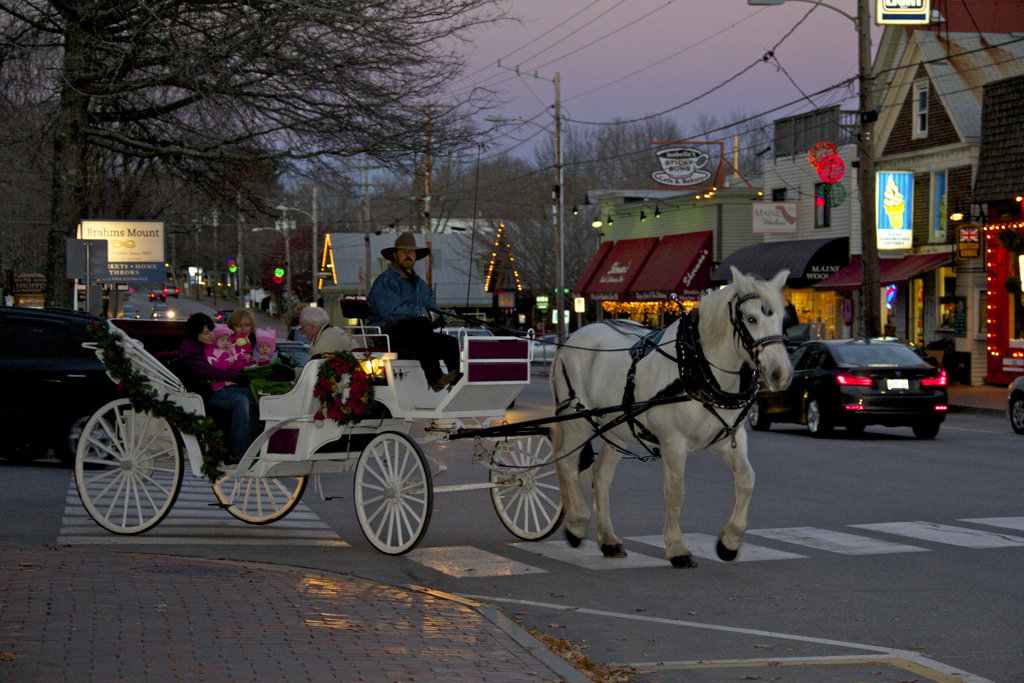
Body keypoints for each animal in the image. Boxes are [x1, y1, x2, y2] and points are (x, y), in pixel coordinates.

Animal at [552, 266, 790, 565]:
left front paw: (730, 542)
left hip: (615, 430)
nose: (781, 374)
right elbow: (676, 491)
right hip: (577, 422)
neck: (697, 367)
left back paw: (608, 539)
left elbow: (747, 480)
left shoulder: (729, 439)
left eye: (781, 318)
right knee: (568, 465)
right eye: (751, 318)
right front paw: (677, 548)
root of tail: (570, 339)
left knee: (601, 475)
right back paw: (577, 523)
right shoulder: (673, 442)